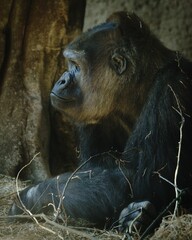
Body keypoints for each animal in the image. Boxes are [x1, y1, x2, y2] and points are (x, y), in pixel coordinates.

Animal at [9, 11, 192, 236]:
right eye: (70, 64)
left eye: (76, 66)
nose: (61, 79)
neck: (139, 86)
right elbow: (95, 172)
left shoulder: (171, 88)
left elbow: (138, 180)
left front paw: (27, 198)